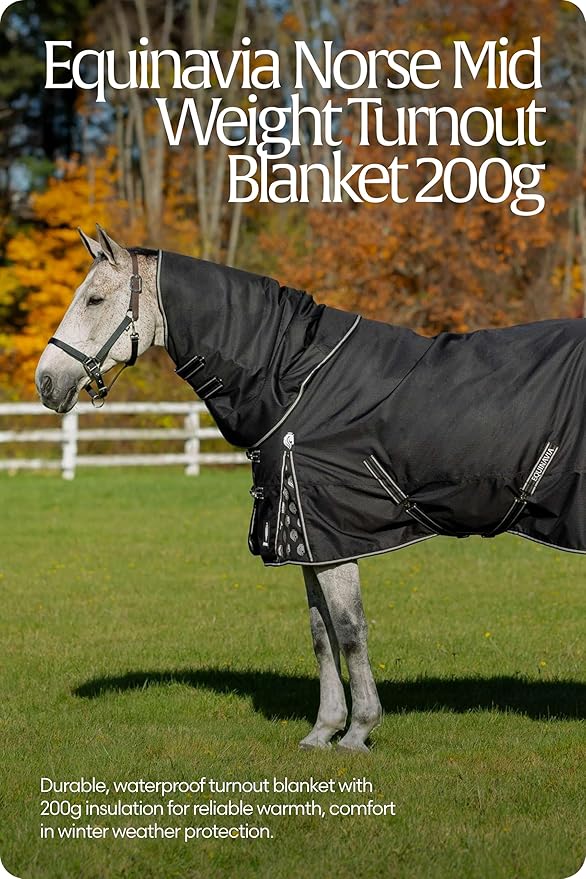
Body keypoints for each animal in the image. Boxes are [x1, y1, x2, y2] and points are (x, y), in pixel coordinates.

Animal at [36, 226, 586, 752]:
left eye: (94, 300)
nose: (46, 382)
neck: (297, 380)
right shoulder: (303, 539)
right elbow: (321, 633)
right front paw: (324, 729)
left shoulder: (331, 533)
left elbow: (350, 630)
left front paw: (359, 731)